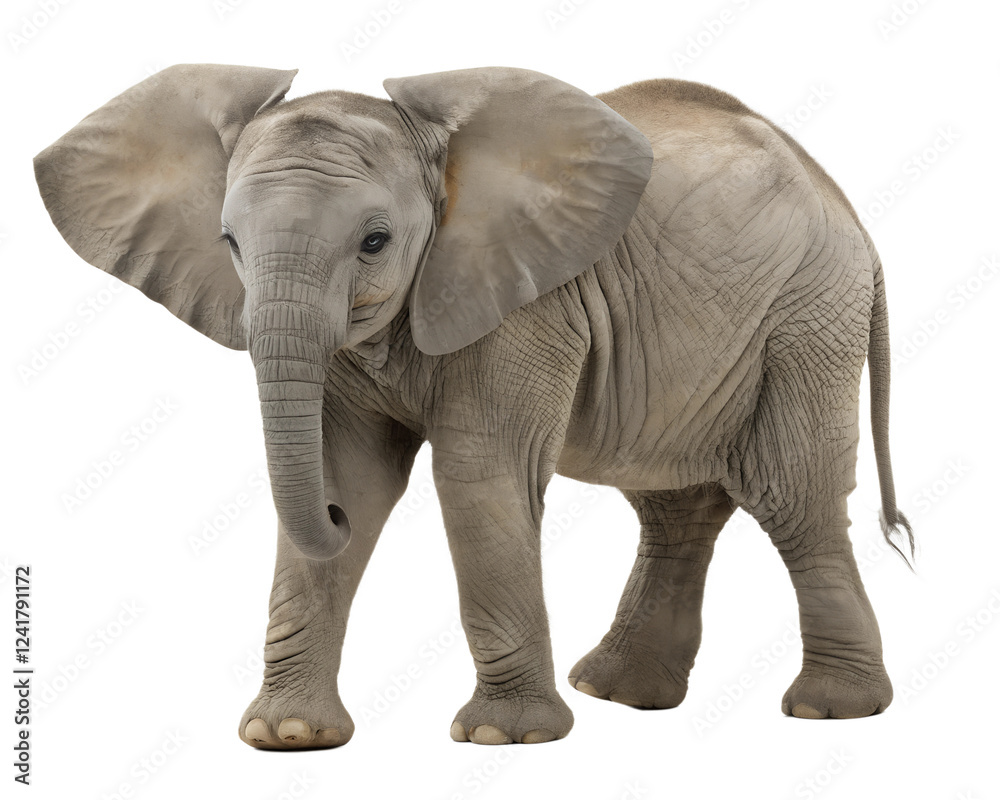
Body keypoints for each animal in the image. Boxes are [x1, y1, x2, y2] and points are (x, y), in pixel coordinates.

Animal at [34, 63, 914, 748]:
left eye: (376, 242)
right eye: (230, 245)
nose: (331, 520)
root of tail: (848, 209)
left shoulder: (527, 303)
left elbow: (477, 478)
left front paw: (503, 736)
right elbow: (352, 470)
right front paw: (288, 735)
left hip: (806, 319)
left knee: (791, 494)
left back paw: (831, 710)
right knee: (674, 504)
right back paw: (620, 693)